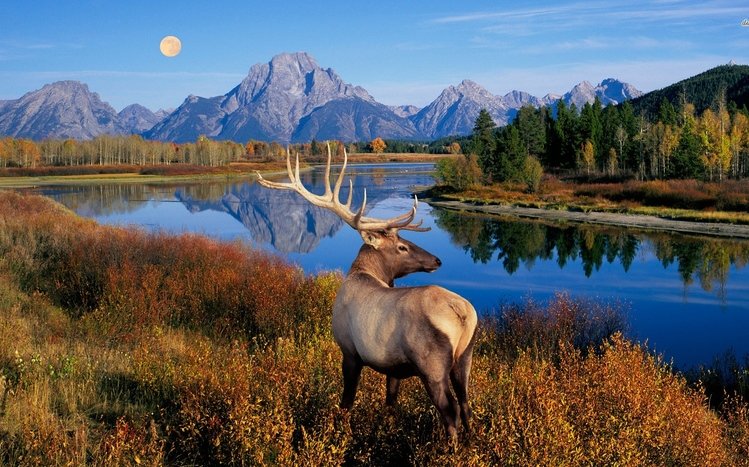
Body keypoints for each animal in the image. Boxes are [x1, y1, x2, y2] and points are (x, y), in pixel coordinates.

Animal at [256, 145, 477, 441]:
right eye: (402, 247)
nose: (437, 260)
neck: (362, 273)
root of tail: (463, 314)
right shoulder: (393, 367)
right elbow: (390, 401)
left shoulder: (349, 351)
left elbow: (346, 401)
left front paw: (340, 431)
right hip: (464, 357)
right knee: (465, 404)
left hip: (432, 364)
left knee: (450, 410)